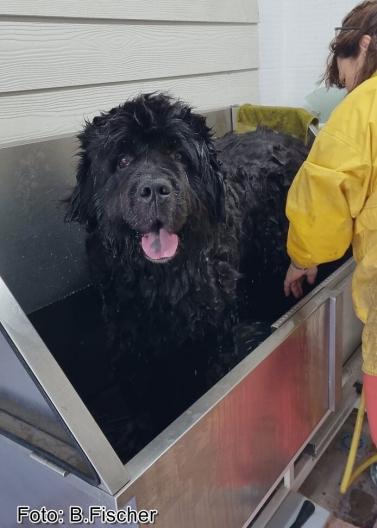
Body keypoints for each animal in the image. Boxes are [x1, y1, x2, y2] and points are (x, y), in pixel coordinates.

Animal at [66, 94, 306, 454]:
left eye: (179, 155)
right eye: (122, 160)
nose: (154, 188)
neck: (162, 283)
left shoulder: (214, 339)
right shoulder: (131, 345)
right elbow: (142, 403)